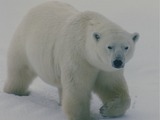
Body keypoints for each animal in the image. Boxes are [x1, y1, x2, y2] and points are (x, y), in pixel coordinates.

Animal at [3, 1, 139, 120]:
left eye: (126, 47)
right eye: (109, 46)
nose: (118, 62)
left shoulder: (105, 68)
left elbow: (111, 87)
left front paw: (106, 109)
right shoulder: (79, 58)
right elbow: (77, 89)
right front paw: (83, 116)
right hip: (23, 45)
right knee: (19, 72)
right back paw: (16, 92)